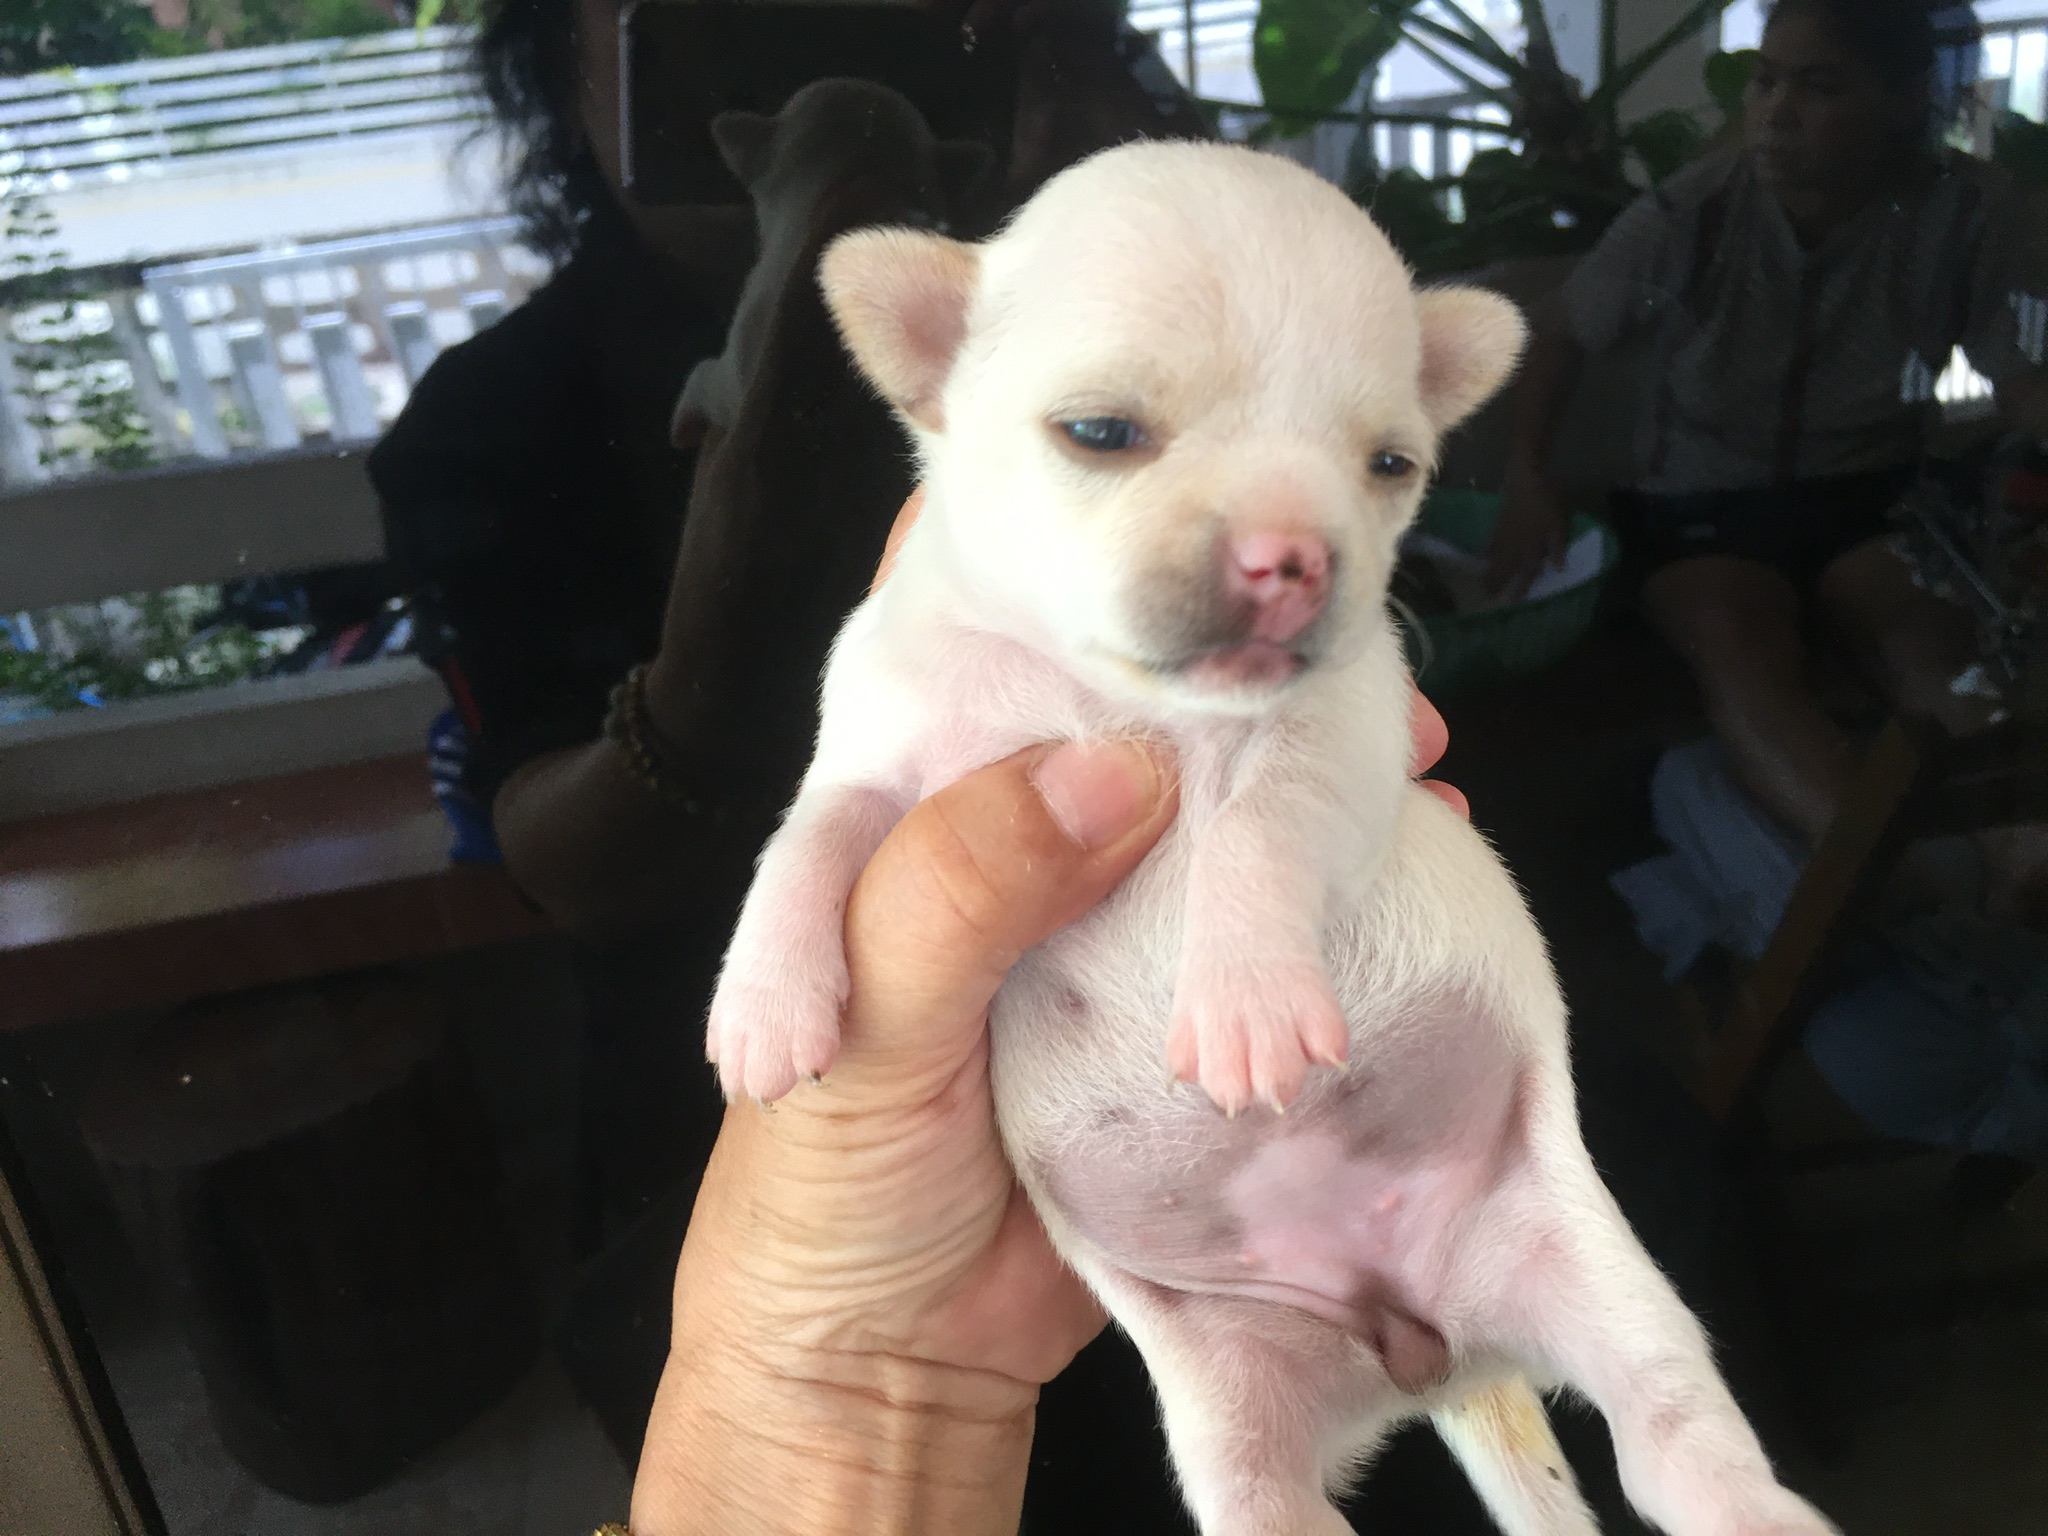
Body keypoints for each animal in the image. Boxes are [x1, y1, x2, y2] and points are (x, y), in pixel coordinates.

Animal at [705, 140, 1838, 1536]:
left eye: (1390, 464)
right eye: (1099, 432)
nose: (1290, 556)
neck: (1118, 696)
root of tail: (1433, 1351)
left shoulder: (1337, 738)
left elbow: (1253, 826)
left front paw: (1241, 997)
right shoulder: (878, 744)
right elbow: (806, 840)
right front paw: (765, 1004)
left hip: (1589, 1275)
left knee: (1671, 1435)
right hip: (1233, 1414)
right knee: (1276, 1500)